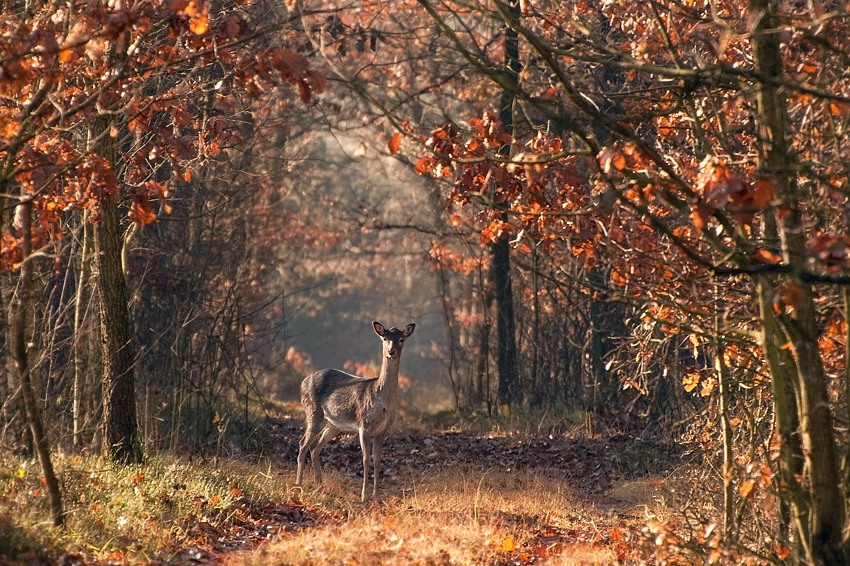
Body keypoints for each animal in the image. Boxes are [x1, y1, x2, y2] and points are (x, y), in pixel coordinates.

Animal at [294, 322, 414, 504]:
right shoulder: (364, 424)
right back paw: (299, 485)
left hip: (333, 424)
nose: (391, 351)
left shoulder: (383, 430)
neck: (382, 401)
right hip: (313, 412)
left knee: (314, 447)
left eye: (401, 338)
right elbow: (365, 459)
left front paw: (377, 497)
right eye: (385, 338)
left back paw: (319, 486)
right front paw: (364, 496)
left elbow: (378, 460)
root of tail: (302, 382)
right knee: (303, 444)